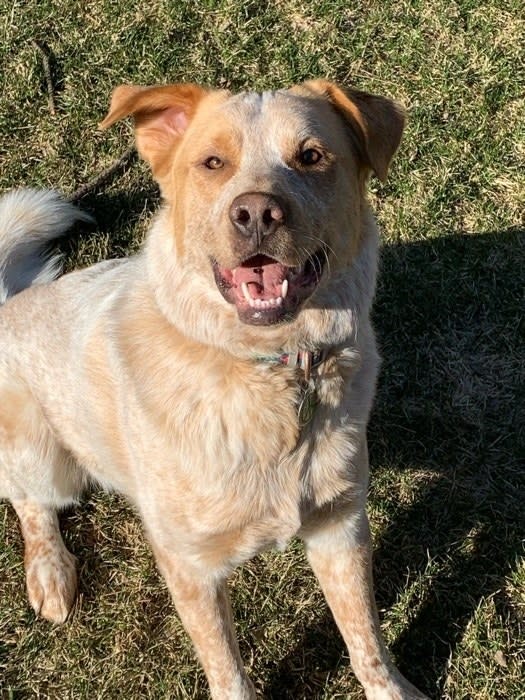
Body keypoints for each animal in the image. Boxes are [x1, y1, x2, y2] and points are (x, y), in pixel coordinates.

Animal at [0, 79, 428, 696]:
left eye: (312, 156)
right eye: (212, 163)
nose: (257, 214)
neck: (266, 371)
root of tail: (7, 304)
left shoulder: (341, 525)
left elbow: (366, 639)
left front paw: (392, 689)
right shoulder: (192, 567)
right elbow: (229, 674)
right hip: (39, 450)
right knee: (31, 502)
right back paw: (51, 574)